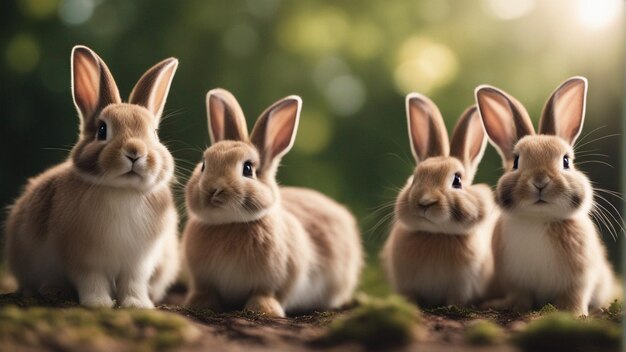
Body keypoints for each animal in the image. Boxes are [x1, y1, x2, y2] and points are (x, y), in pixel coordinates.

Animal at [4, 44, 180, 308]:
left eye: (155, 134)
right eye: (102, 130)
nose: (135, 152)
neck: (123, 191)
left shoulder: (138, 264)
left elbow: (133, 283)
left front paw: (137, 304)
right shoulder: (83, 258)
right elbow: (91, 279)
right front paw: (98, 303)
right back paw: (52, 290)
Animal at [180, 88, 364, 316]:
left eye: (248, 169)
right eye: (204, 165)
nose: (212, 190)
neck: (230, 223)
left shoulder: (281, 278)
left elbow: (266, 293)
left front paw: (264, 309)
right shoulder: (203, 279)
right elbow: (205, 290)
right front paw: (198, 303)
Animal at [378, 93, 500, 308]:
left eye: (457, 180)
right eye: (415, 178)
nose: (425, 202)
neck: (436, 234)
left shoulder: (462, 285)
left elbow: (457, 299)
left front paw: (452, 306)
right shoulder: (407, 283)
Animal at [472, 76, 616, 314]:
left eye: (566, 161)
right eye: (516, 162)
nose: (540, 182)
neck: (539, 218)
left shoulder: (579, 279)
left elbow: (574, 296)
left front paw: (574, 313)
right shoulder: (515, 280)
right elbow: (520, 296)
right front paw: (514, 307)